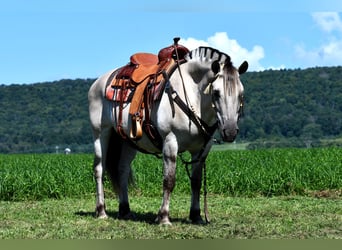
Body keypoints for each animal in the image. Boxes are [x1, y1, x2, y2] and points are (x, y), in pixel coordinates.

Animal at [88, 39, 247, 225]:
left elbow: (196, 182)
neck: (191, 93)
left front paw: (196, 215)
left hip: (127, 141)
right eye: (216, 92)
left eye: (241, 94)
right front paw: (163, 217)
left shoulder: (202, 150)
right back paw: (101, 211)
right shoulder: (170, 142)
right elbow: (169, 181)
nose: (230, 131)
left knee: (122, 170)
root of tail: (99, 82)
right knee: (99, 169)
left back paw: (125, 210)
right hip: (101, 133)